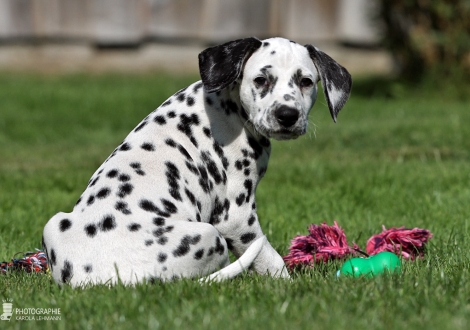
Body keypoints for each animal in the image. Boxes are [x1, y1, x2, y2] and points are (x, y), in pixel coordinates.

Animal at [42, 37, 350, 288]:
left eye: (305, 81)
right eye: (261, 80)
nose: (287, 115)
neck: (228, 106)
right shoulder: (236, 217)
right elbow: (269, 258)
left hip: (53, 223)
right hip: (209, 236)